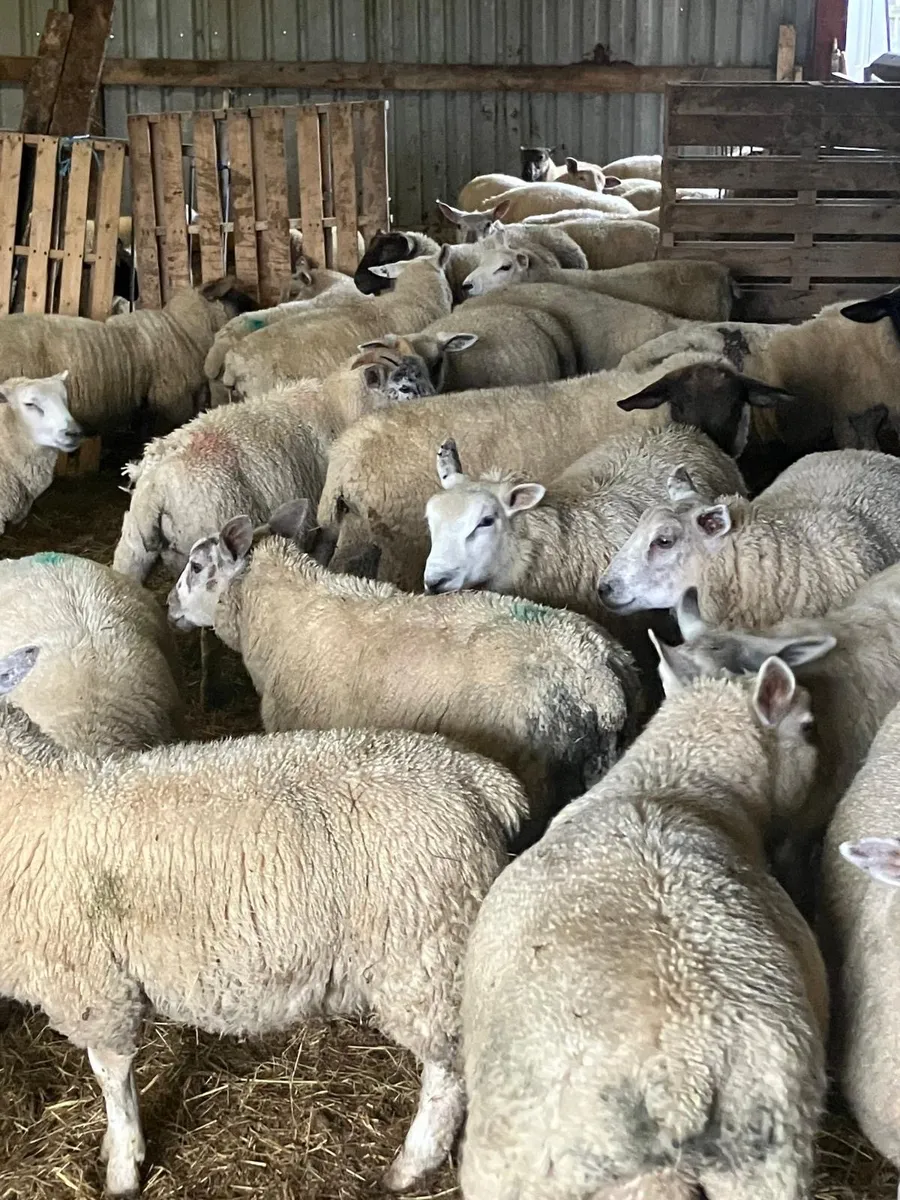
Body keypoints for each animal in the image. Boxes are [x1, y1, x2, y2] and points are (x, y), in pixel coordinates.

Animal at [0, 643, 529, 1197]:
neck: (31, 798)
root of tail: (481, 782)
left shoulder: (93, 990)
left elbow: (112, 1081)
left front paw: (123, 1169)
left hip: (425, 955)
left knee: (447, 1075)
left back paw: (410, 1165)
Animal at [318, 355, 792, 590]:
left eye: (735, 404)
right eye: (679, 402)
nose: (709, 440)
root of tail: (343, 457)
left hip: (357, 536)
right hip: (401, 550)